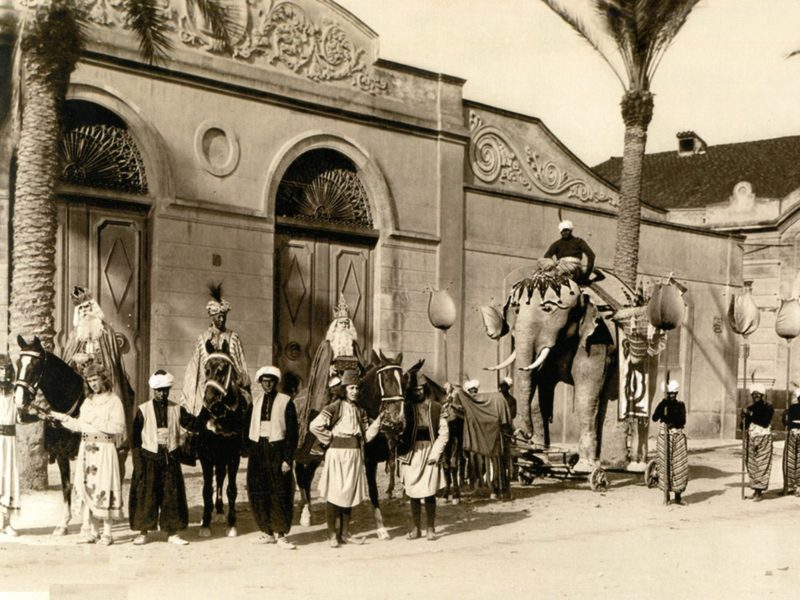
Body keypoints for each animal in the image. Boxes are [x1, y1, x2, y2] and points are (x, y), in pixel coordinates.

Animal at [13, 332, 85, 536]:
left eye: (34, 366)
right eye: (18, 363)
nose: (19, 400)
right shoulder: (61, 454)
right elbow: (66, 486)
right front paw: (63, 524)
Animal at [482, 262, 620, 468]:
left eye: (548, 308)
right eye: (516, 310)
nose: (521, 434)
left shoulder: (597, 339)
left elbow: (585, 394)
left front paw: (584, 467)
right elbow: (536, 396)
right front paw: (537, 460)